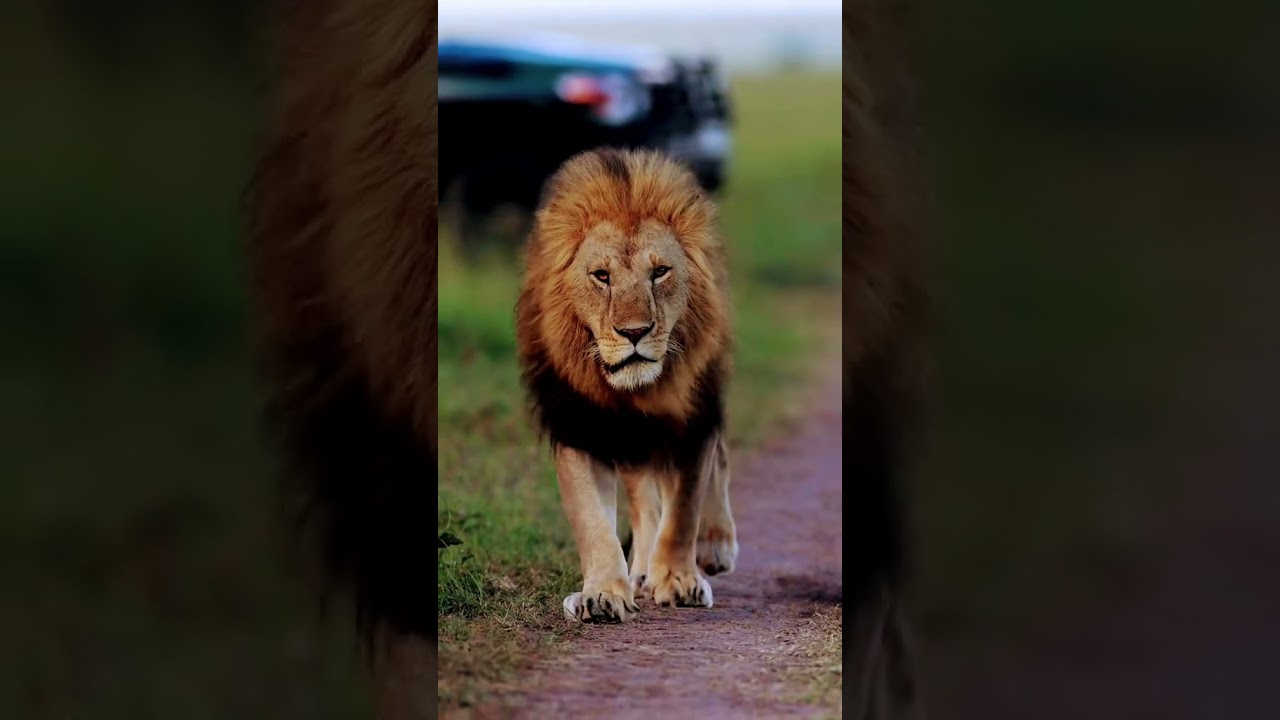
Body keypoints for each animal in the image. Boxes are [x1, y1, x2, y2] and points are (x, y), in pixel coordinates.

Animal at [515, 148, 738, 622]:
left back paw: (715, 545)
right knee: (644, 497)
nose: (634, 332)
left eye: (660, 272)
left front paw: (679, 580)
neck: (637, 394)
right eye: (601, 276)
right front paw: (603, 592)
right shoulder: (579, 423)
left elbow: (684, 509)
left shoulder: (692, 422)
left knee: (717, 460)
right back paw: (641, 571)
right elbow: (592, 520)